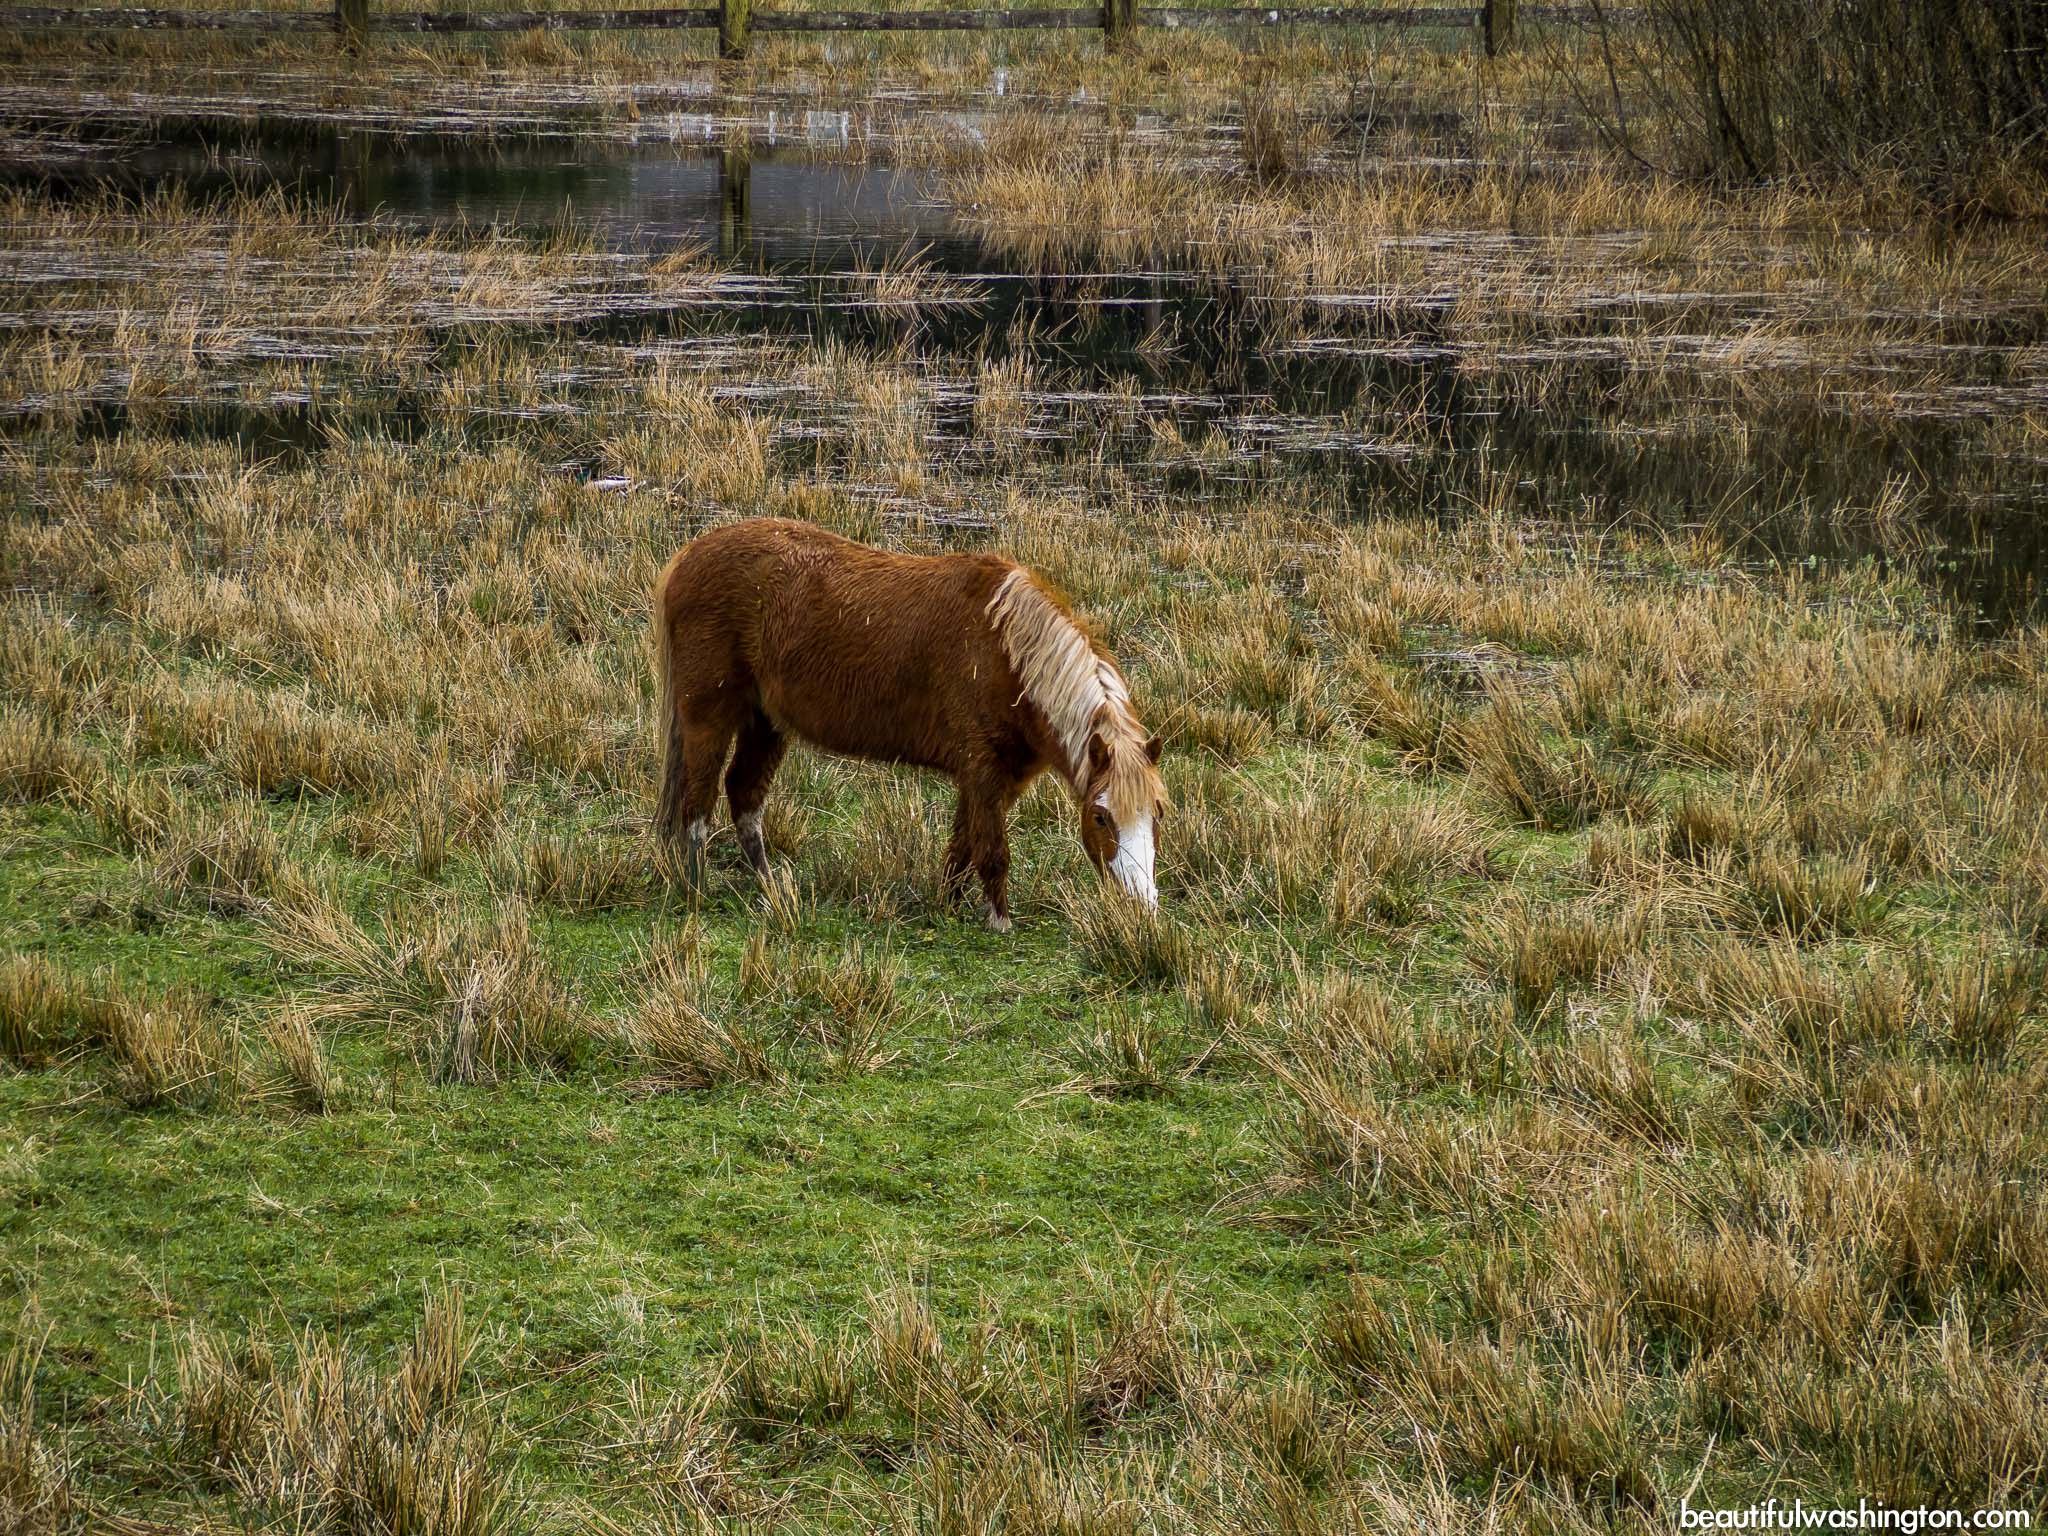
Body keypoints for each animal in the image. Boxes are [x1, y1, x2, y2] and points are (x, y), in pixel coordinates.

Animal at [655, 520, 1171, 925]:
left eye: (1158, 813)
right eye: (1101, 816)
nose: (1140, 906)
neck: (1006, 654)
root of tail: (686, 557)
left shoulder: (994, 779)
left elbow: (962, 848)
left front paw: (948, 907)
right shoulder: (983, 772)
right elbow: (992, 852)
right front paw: (999, 923)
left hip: (765, 724)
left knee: (743, 796)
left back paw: (771, 888)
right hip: (708, 717)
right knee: (696, 803)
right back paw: (697, 889)